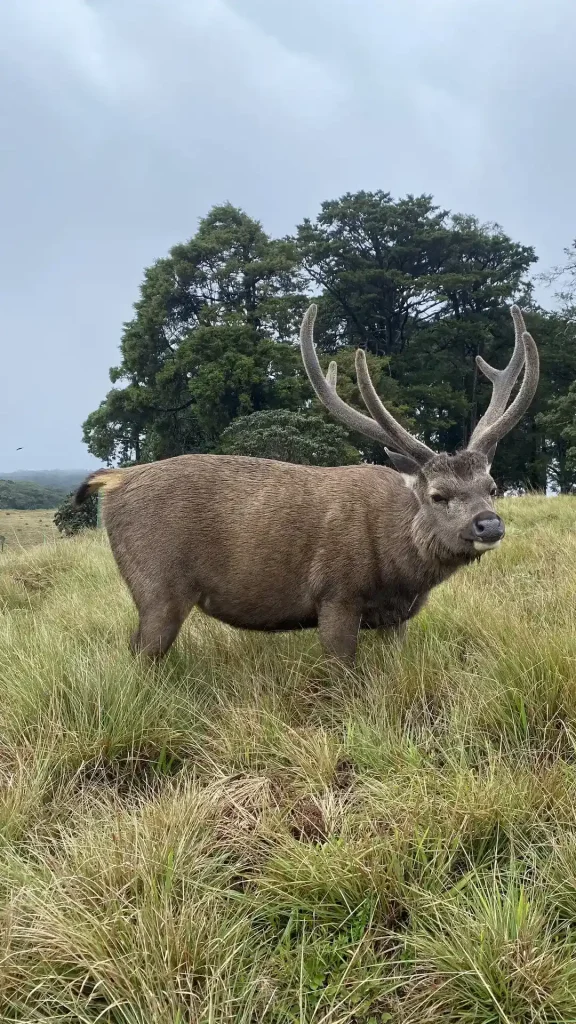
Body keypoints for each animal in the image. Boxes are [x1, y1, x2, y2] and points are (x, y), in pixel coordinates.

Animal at [75, 304, 539, 667]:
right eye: (437, 495)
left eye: (491, 485)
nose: (489, 525)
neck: (398, 566)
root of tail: (114, 481)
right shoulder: (336, 594)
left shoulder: (397, 618)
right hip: (157, 585)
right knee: (140, 653)